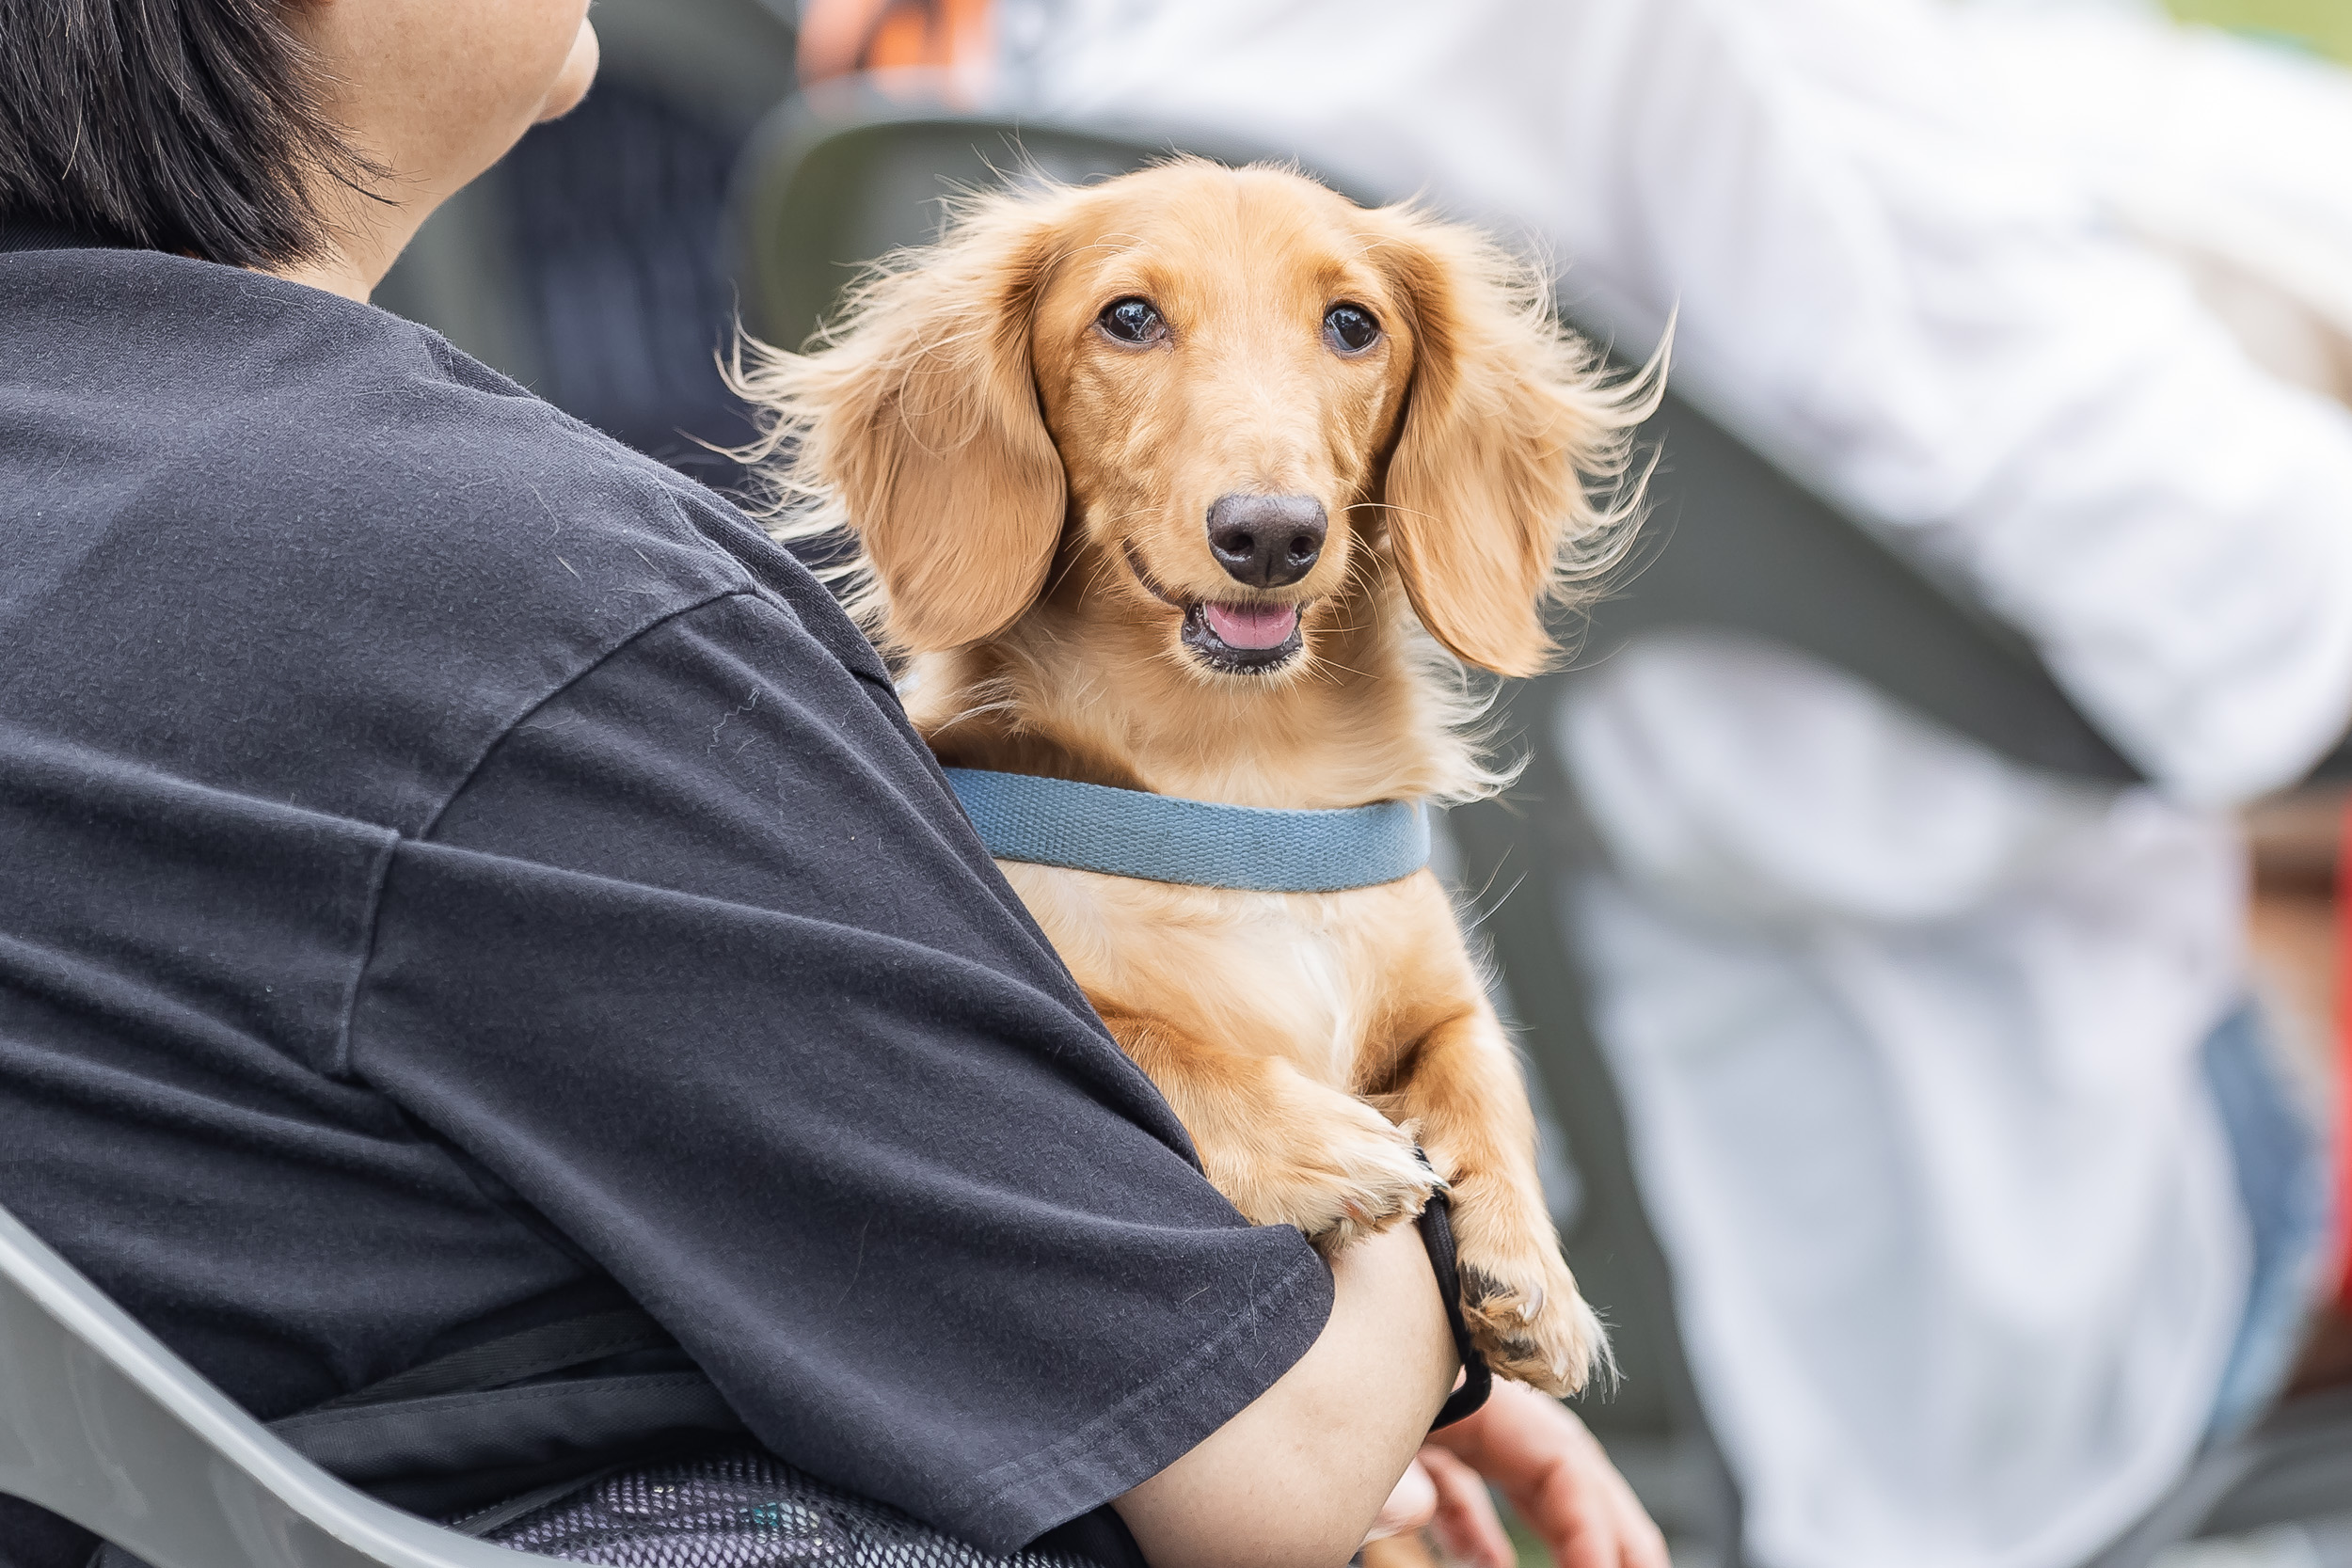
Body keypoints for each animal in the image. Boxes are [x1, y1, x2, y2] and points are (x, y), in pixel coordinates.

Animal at [748, 156, 1656, 1382]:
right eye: (1129, 317)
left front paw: (1529, 1265)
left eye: (1352, 324)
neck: (1239, 791)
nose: (1271, 535)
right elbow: (1142, 1041)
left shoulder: (1437, 981)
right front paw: (1318, 1142)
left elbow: (1480, 1067)